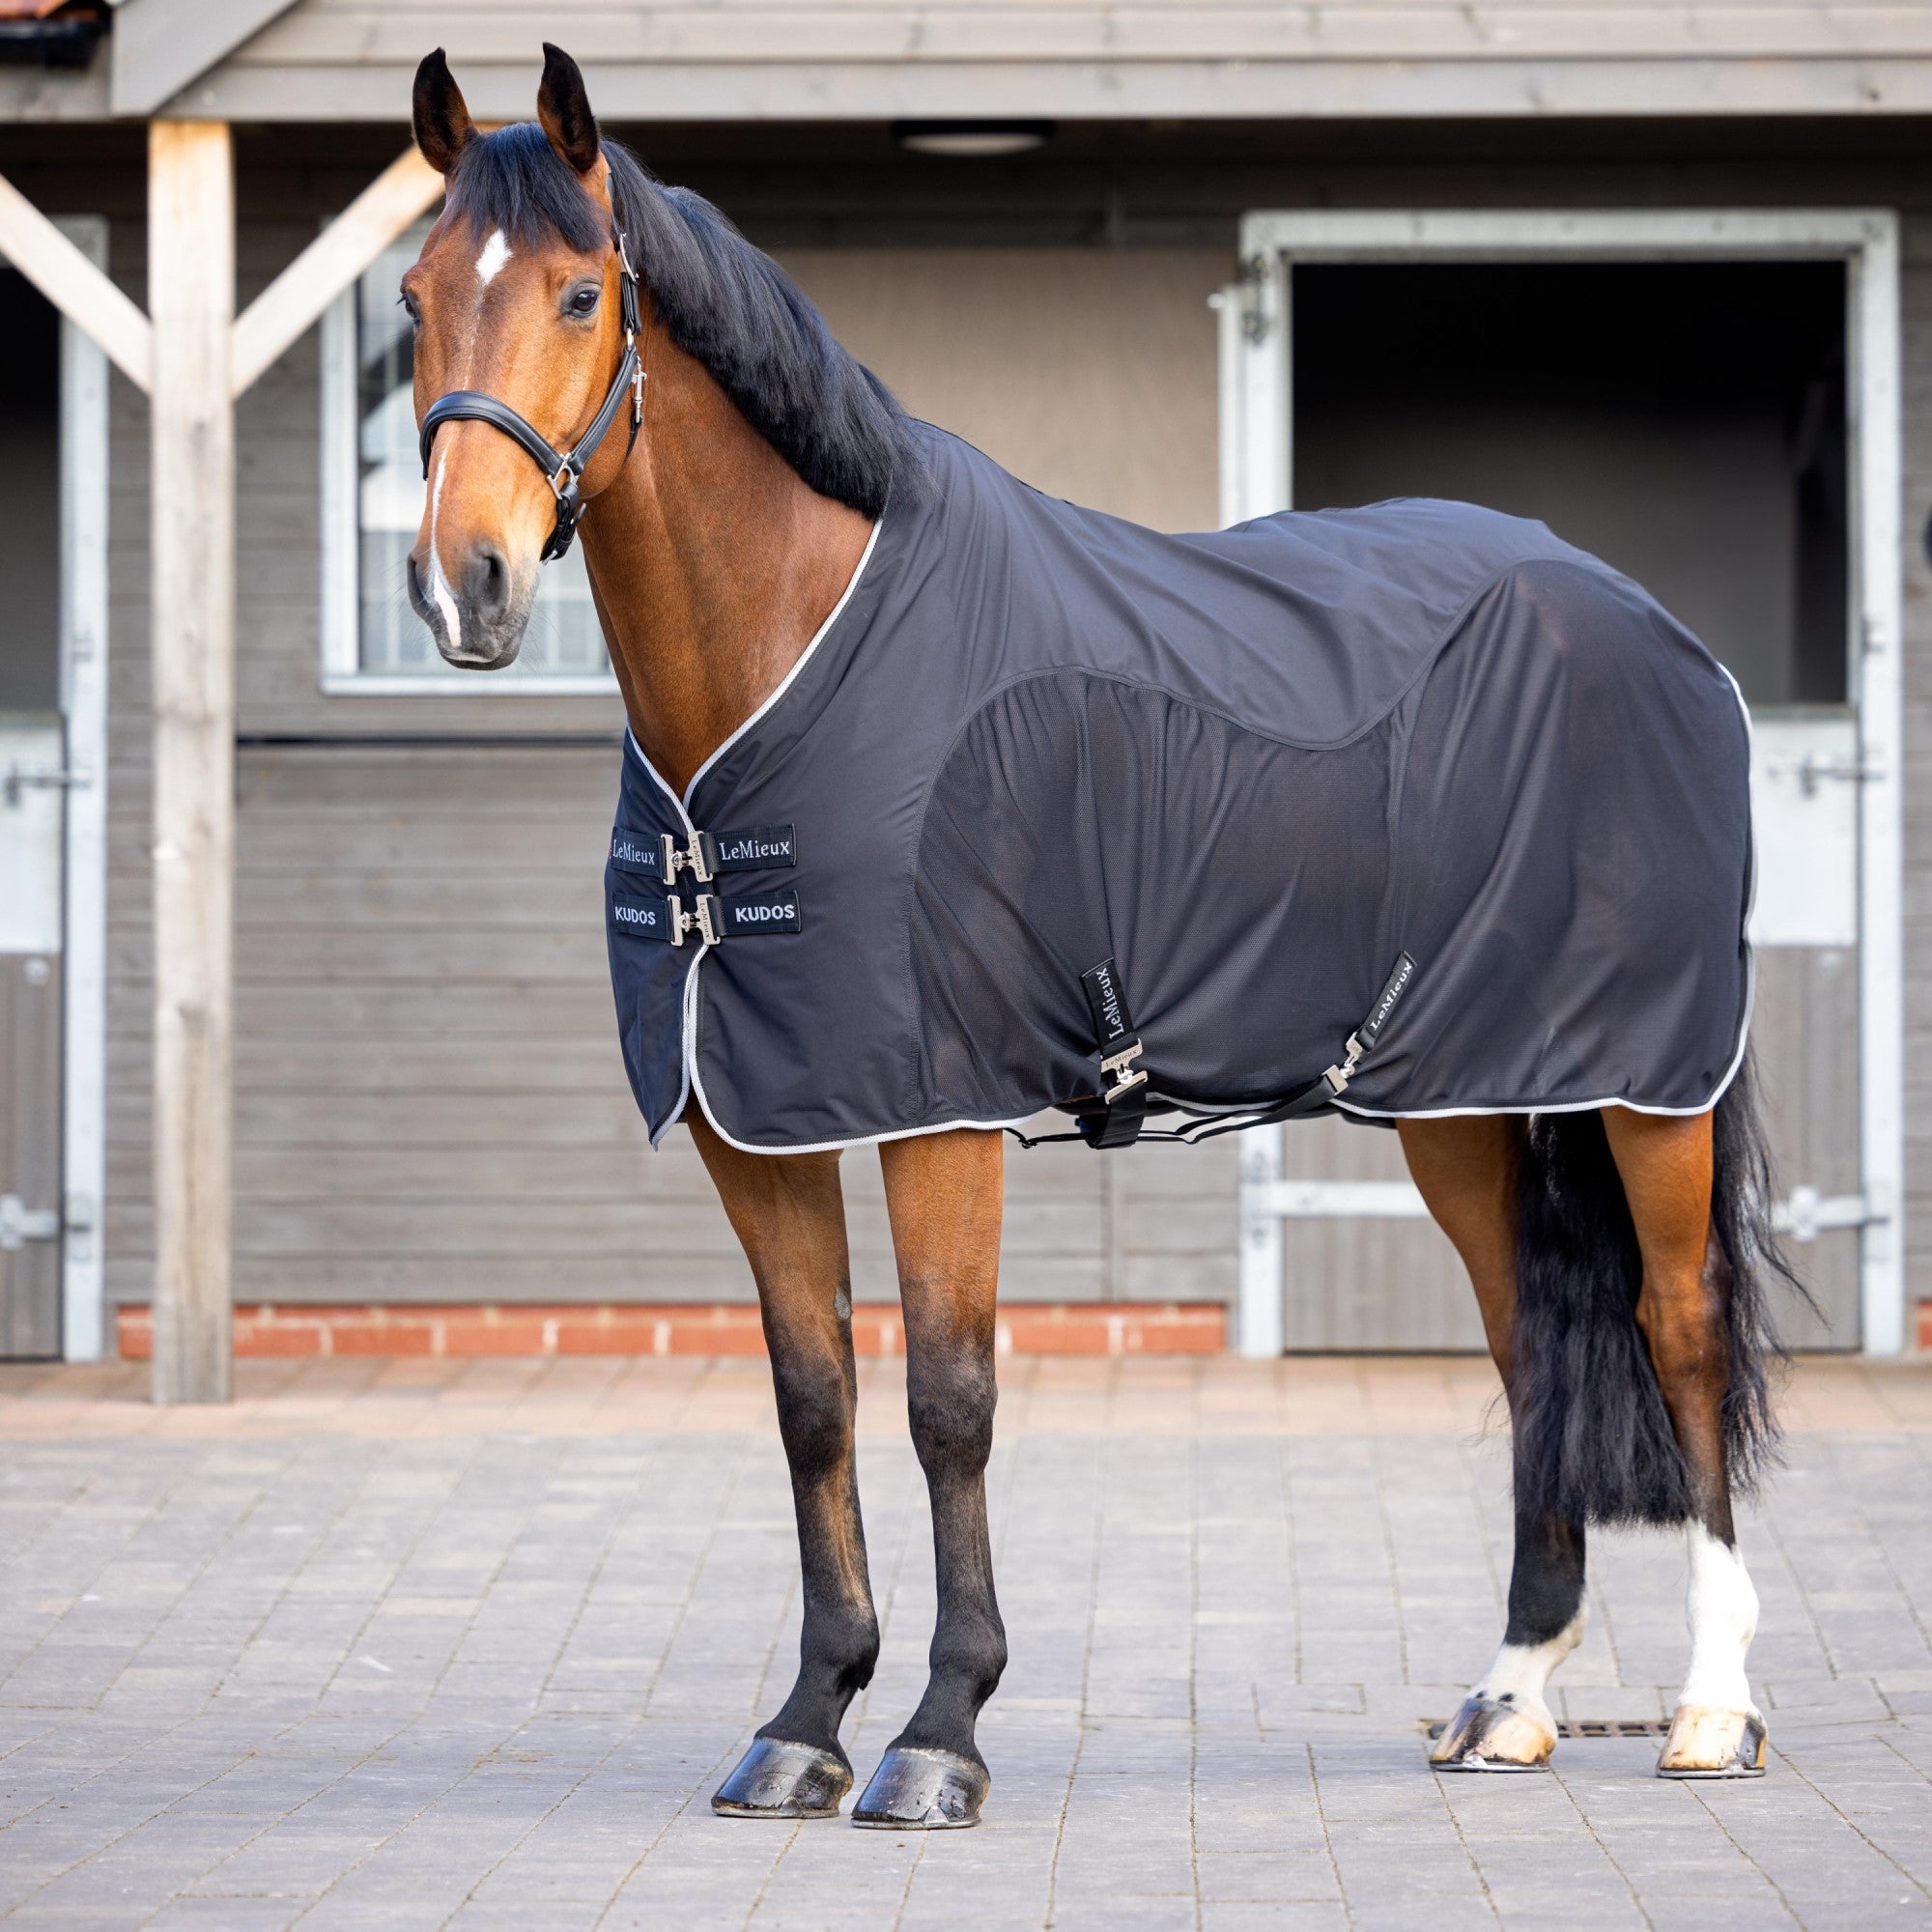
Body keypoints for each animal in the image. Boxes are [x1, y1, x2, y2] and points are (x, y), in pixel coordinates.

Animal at [399, 43, 1796, 1826]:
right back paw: (1509, 1698)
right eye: (417, 296)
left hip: (1646, 1085)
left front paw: (938, 1734)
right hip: (1465, 1101)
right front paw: (805, 1722)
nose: (466, 583)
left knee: (1676, 1332)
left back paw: (1712, 1708)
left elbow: (949, 1401)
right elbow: (810, 1403)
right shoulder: (753, 1114)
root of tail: (1643, 621)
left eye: (582, 294)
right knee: (1525, 1346)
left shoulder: (933, 1111)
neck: (798, 652)